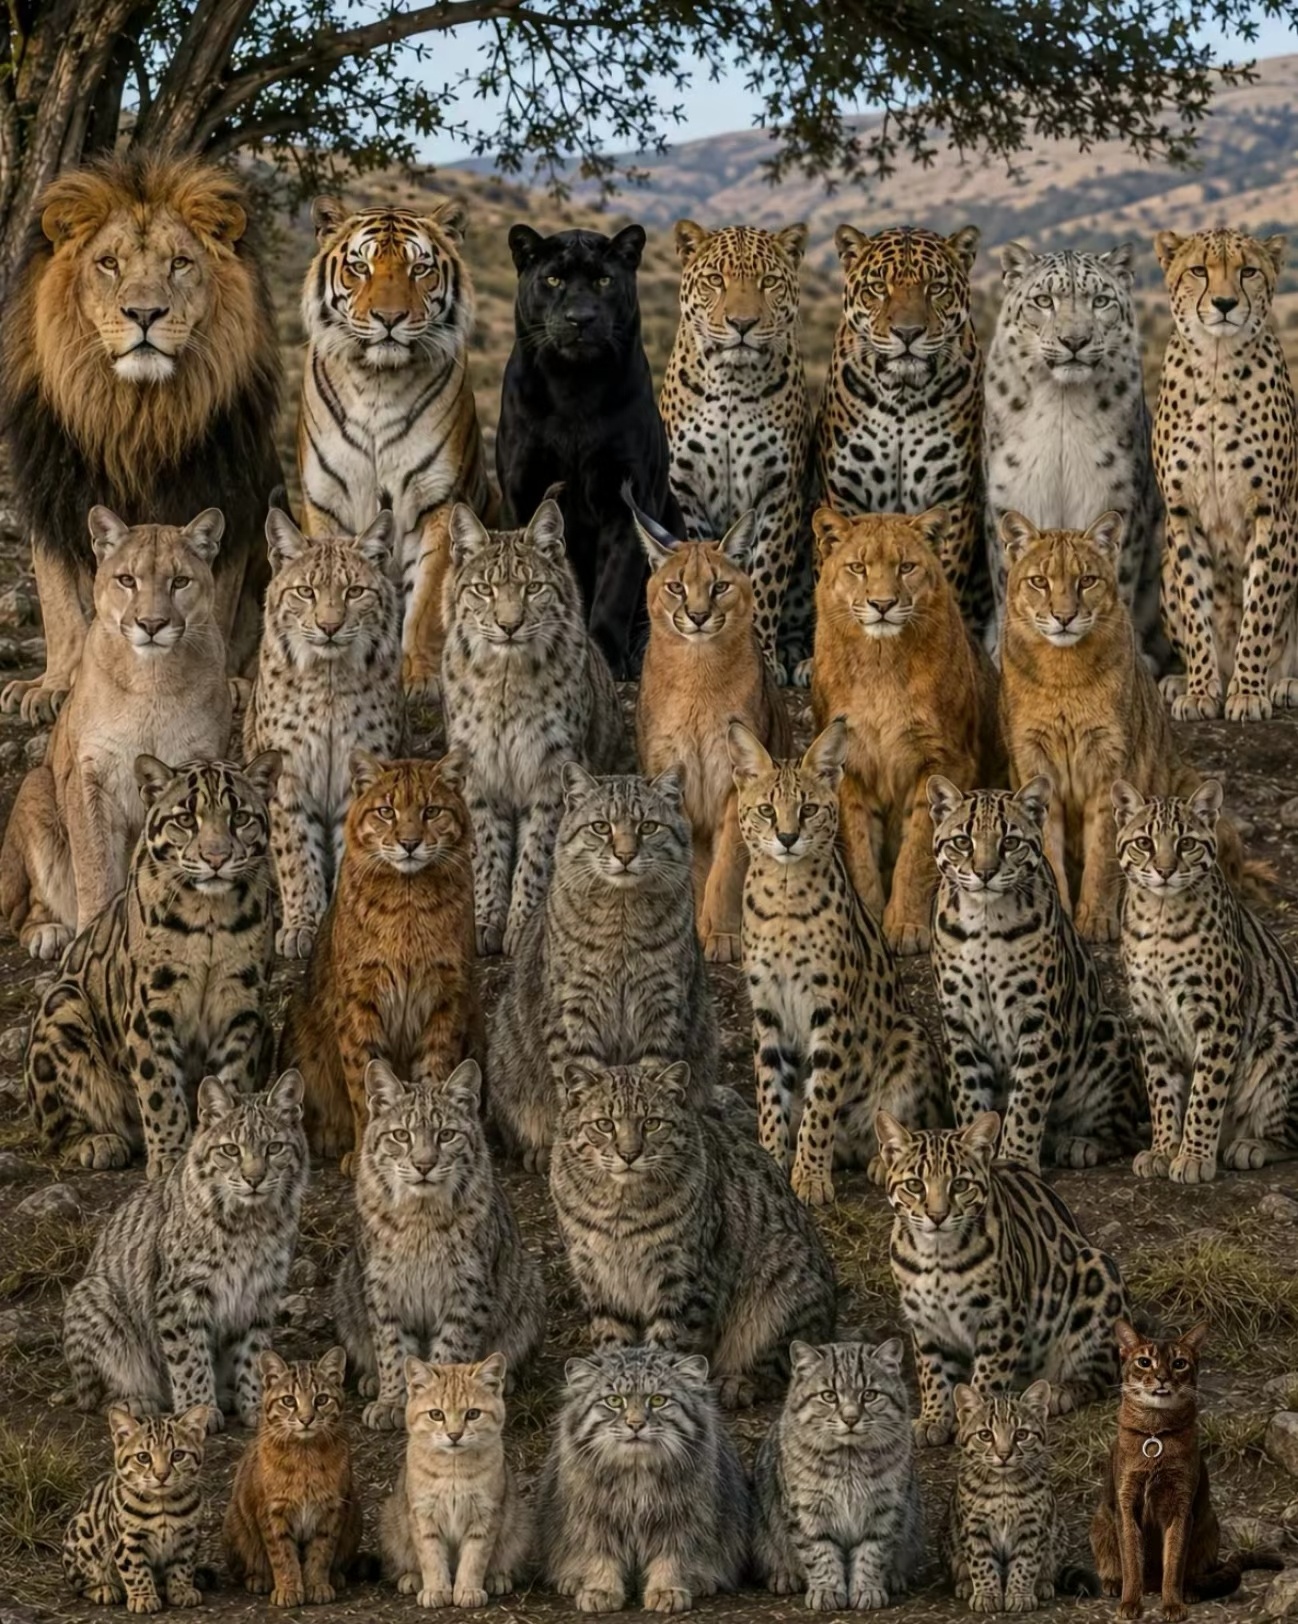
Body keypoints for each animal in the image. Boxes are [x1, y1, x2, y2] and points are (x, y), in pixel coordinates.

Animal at [297, 196, 495, 699]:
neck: (377, 383)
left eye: (419, 268)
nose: (389, 320)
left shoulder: (438, 500)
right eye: (360, 267)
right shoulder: (326, 501)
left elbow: (425, 602)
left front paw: (419, 677)